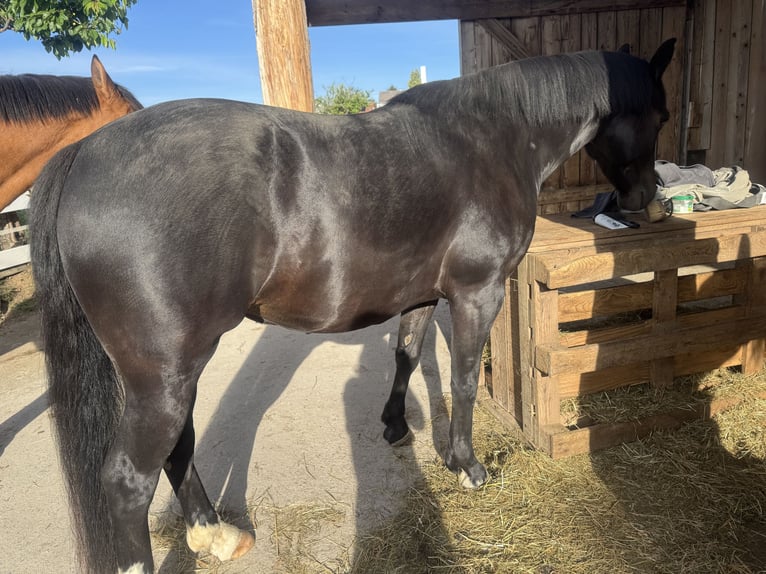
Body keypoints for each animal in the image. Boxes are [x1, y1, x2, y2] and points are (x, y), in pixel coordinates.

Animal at [30, 39, 675, 574]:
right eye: (662, 115)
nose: (649, 200)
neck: (493, 140)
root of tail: (86, 152)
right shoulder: (478, 292)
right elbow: (464, 380)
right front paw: (466, 465)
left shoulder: (422, 295)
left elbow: (406, 356)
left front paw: (396, 426)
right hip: (163, 375)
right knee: (129, 481)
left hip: (170, 371)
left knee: (179, 446)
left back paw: (216, 534)